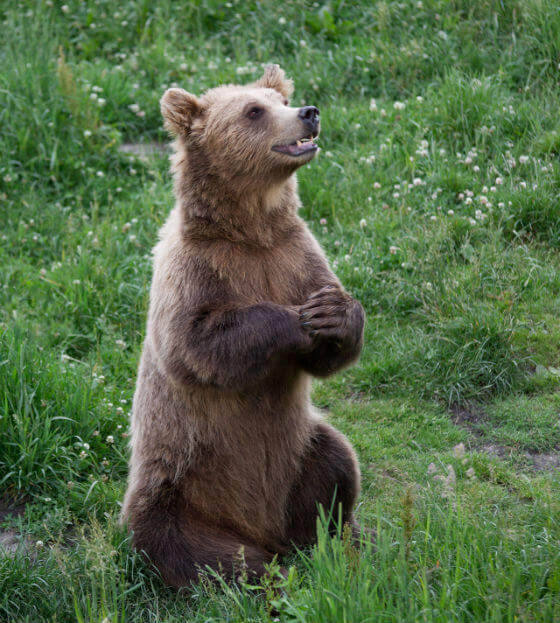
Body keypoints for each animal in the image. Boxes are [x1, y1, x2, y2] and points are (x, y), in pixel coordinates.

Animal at [122, 66, 368, 588]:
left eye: (281, 100)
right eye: (253, 111)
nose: (309, 112)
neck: (252, 230)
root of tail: (260, 527)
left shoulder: (296, 255)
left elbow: (332, 346)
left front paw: (332, 312)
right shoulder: (194, 271)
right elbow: (196, 344)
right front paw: (296, 320)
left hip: (300, 452)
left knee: (335, 464)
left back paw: (333, 544)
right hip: (177, 486)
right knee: (188, 547)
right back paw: (263, 575)